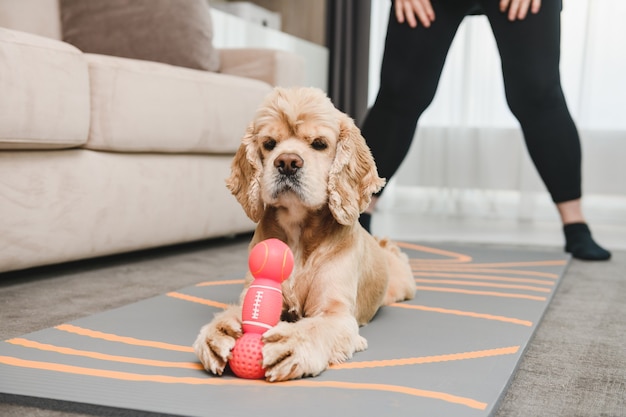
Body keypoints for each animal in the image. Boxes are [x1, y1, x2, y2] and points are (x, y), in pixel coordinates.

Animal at [191, 87, 414, 380]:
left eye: (319, 143)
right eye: (269, 143)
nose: (287, 162)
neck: (298, 232)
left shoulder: (336, 312)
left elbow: (315, 326)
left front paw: (291, 344)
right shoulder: (256, 290)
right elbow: (239, 311)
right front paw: (220, 332)